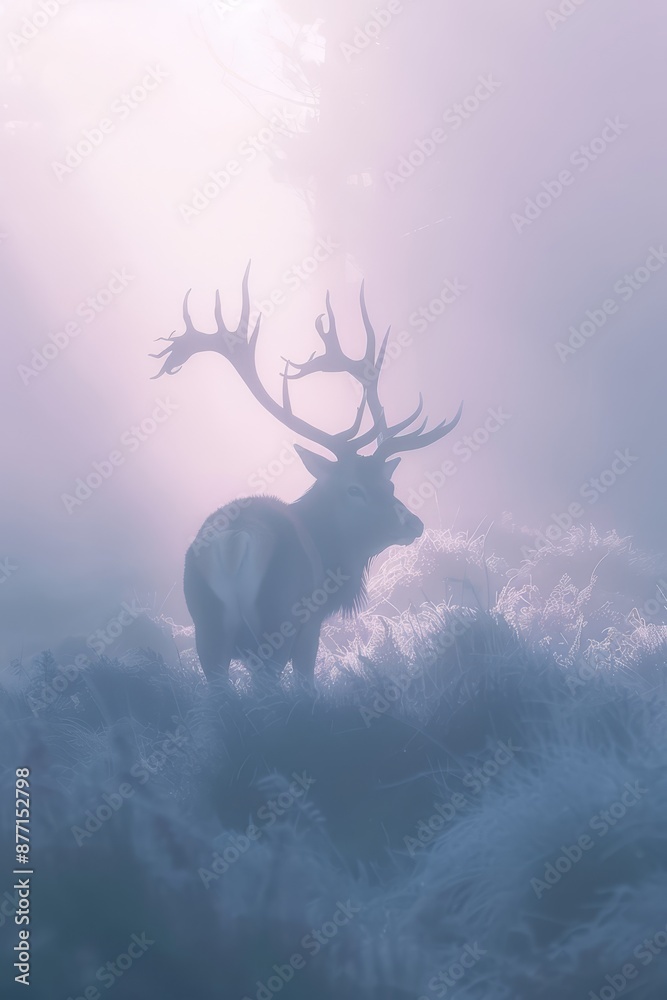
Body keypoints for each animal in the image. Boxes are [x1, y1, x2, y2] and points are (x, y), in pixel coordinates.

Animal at [151, 263, 462, 683]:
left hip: (207, 632)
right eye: (354, 489)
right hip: (275, 621)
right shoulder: (310, 626)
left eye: (389, 481)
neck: (331, 557)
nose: (414, 523)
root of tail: (232, 545)